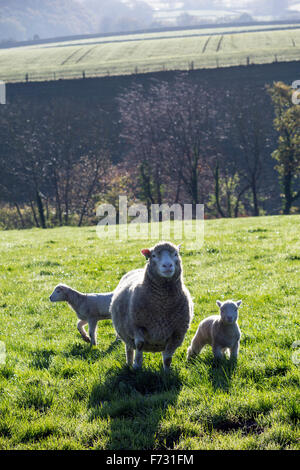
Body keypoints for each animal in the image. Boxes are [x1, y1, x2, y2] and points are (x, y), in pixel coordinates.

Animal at [109, 242, 193, 370]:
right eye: (153, 255)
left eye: (175, 254)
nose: (167, 265)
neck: (163, 304)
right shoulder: (137, 326)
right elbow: (139, 346)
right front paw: (137, 366)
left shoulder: (177, 334)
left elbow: (167, 358)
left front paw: (166, 372)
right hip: (126, 333)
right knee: (129, 348)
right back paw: (129, 363)